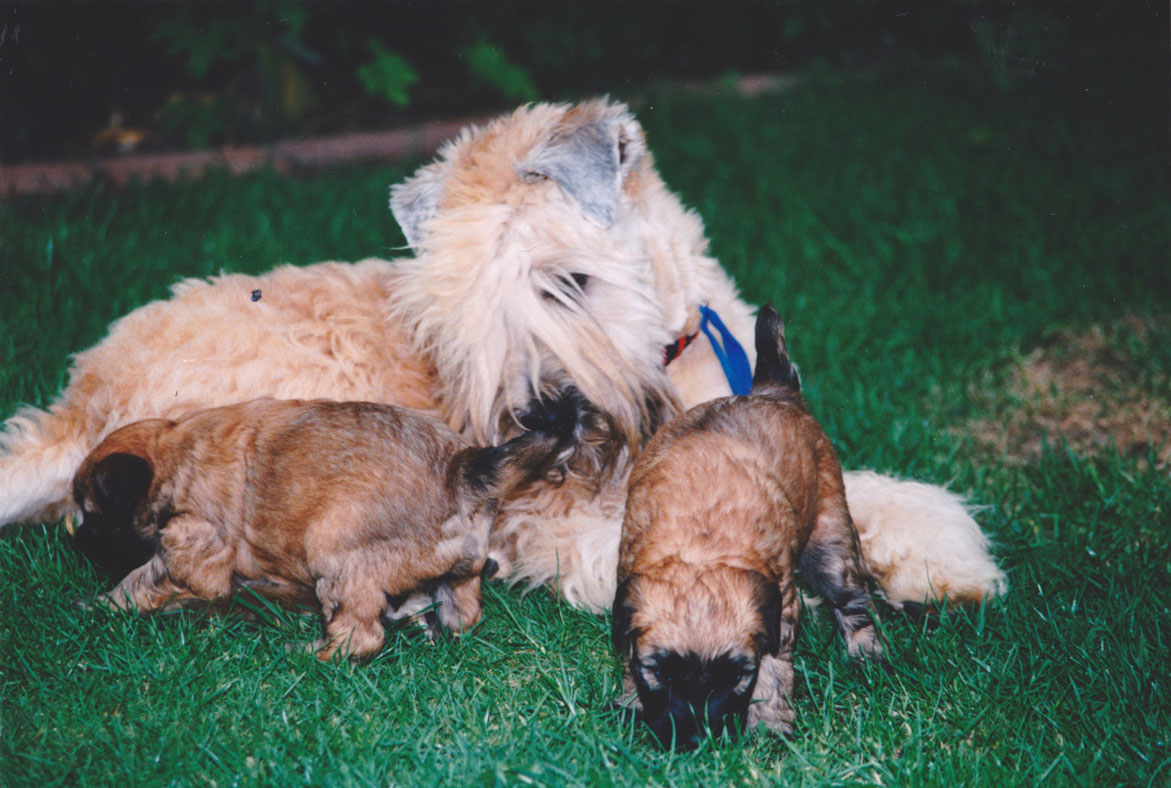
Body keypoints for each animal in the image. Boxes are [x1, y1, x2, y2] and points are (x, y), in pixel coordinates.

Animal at [0, 98, 1007, 613]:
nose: (539, 415)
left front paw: (940, 552)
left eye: (566, 280)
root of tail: (83, 399)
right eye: (458, 306)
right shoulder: (562, 515)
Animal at [70, 391, 583, 655]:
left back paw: (314, 654)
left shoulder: (190, 548)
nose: (80, 542)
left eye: (92, 517)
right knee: (464, 612)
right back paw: (434, 629)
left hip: (338, 555)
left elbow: (140, 581)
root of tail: (464, 469)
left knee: (360, 635)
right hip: (461, 569)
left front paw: (98, 605)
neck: (174, 455)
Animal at [613, 302, 880, 749]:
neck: (701, 546)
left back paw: (869, 655)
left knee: (853, 600)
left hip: (829, 538)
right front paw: (632, 703)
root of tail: (774, 393)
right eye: (662, 673)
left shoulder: (780, 610)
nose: (696, 738)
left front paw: (768, 724)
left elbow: (773, 669)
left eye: (736, 676)